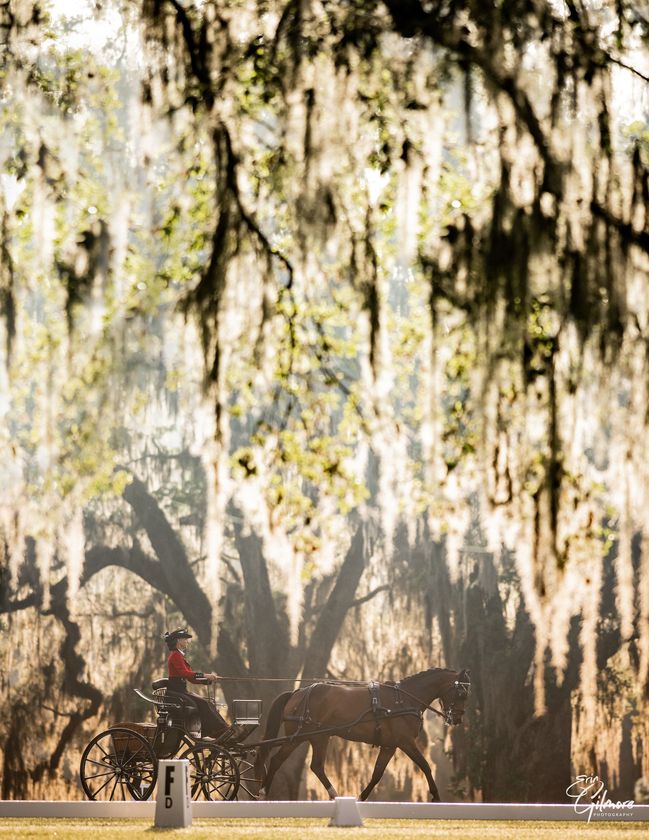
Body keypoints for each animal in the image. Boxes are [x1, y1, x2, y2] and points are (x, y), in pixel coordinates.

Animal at [254, 668, 470, 800]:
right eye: (461, 693)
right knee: (277, 760)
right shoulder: (406, 742)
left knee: (316, 766)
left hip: (319, 737)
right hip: (300, 737)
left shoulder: (390, 745)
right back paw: (263, 791)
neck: (403, 700)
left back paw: (334, 795)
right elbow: (425, 766)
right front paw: (436, 796)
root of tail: (298, 692)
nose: (457, 719)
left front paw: (361, 797)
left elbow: (377, 774)